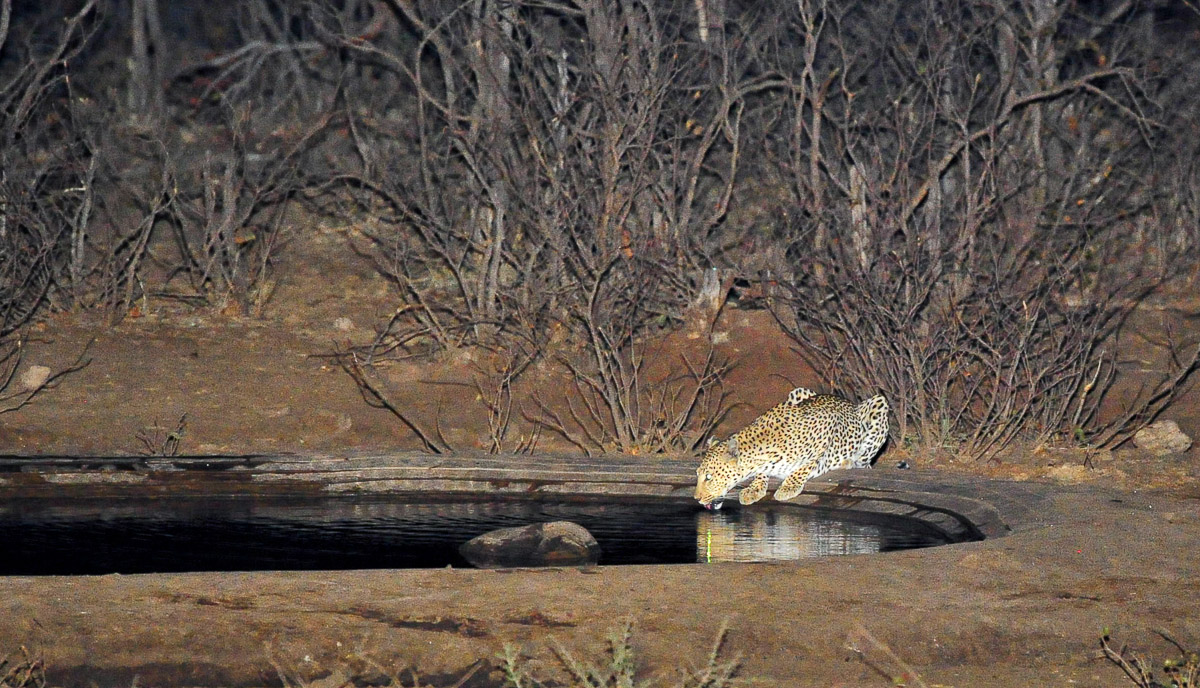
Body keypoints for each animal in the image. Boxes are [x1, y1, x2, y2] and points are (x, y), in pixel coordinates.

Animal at [694, 387, 889, 510]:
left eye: (709, 477)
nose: (696, 498)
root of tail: (850, 402)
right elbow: (761, 473)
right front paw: (754, 488)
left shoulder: (827, 429)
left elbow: (805, 465)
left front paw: (789, 487)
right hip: (798, 392)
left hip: (879, 403)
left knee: (863, 460)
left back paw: (849, 462)